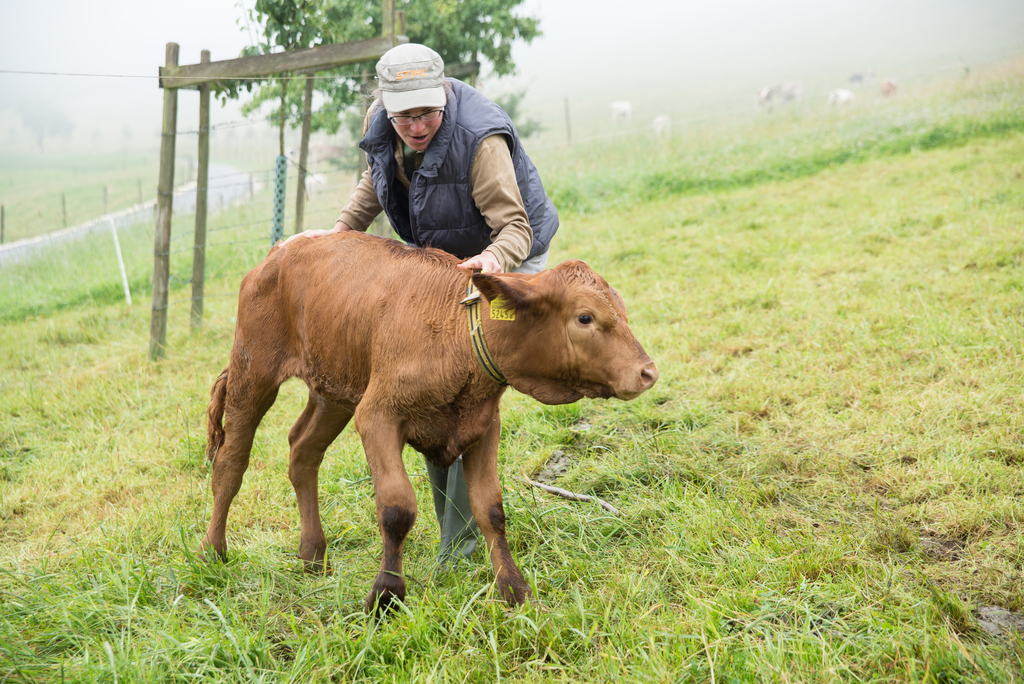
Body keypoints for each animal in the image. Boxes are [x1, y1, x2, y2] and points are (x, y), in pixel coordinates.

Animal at [203, 232, 659, 610]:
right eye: (585, 317)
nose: (648, 372)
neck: (455, 334)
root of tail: (281, 250)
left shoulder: (483, 427)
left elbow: (490, 510)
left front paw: (515, 590)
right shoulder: (377, 416)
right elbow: (397, 508)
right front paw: (385, 595)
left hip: (334, 390)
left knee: (303, 452)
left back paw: (313, 554)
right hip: (254, 373)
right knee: (231, 461)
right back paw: (214, 551)